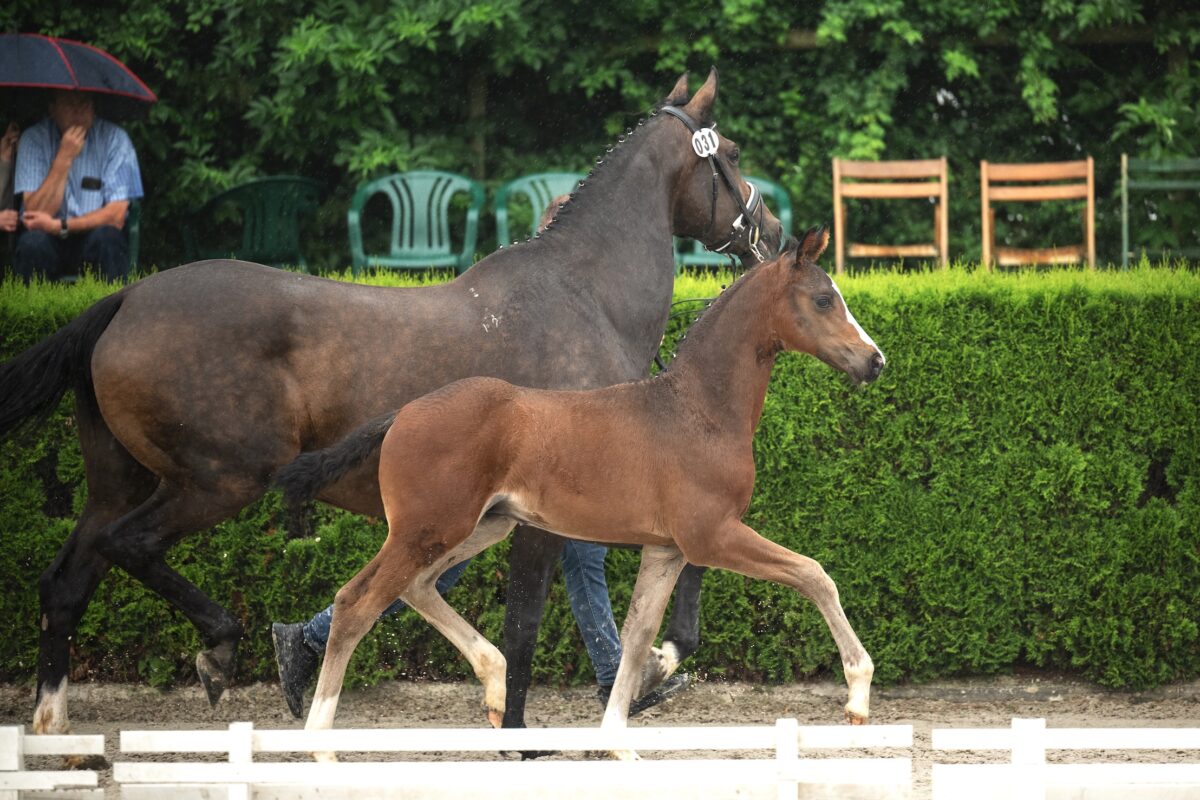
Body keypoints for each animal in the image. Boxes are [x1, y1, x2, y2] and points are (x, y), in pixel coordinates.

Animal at [280, 227, 883, 753]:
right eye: (824, 299)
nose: (874, 360)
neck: (698, 411)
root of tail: (402, 413)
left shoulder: (666, 550)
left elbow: (638, 635)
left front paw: (618, 739)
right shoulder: (712, 536)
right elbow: (814, 574)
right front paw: (857, 695)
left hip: (481, 525)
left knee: (417, 588)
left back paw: (495, 688)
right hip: (426, 530)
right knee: (355, 604)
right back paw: (321, 742)